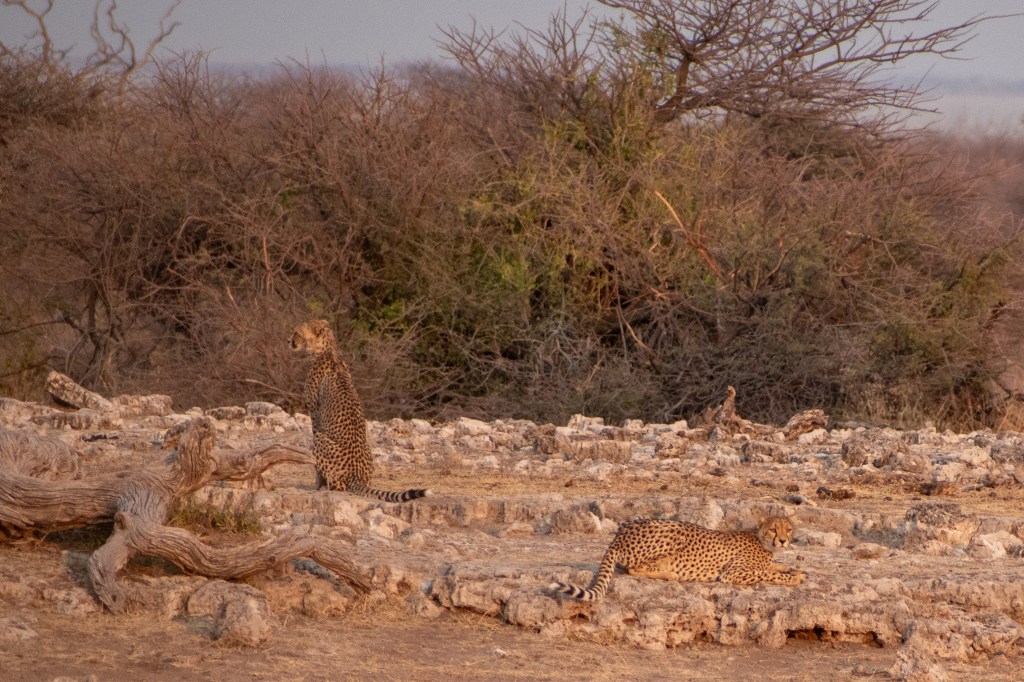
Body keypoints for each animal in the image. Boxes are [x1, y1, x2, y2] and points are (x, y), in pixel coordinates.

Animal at [290, 319, 430, 503]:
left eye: (297, 333)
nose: (289, 341)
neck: (327, 349)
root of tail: (358, 479)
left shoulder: (314, 414)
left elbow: (316, 466)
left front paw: (317, 485)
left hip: (321, 439)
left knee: (339, 486)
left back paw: (327, 487)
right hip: (368, 451)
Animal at [550, 516, 805, 601]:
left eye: (788, 529)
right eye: (774, 529)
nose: (783, 541)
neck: (761, 539)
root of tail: (620, 533)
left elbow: (774, 566)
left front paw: (794, 569)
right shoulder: (733, 573)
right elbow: (765, 573)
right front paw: (794, 577)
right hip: (674, 530)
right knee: (633, 569)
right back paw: (671, 573)